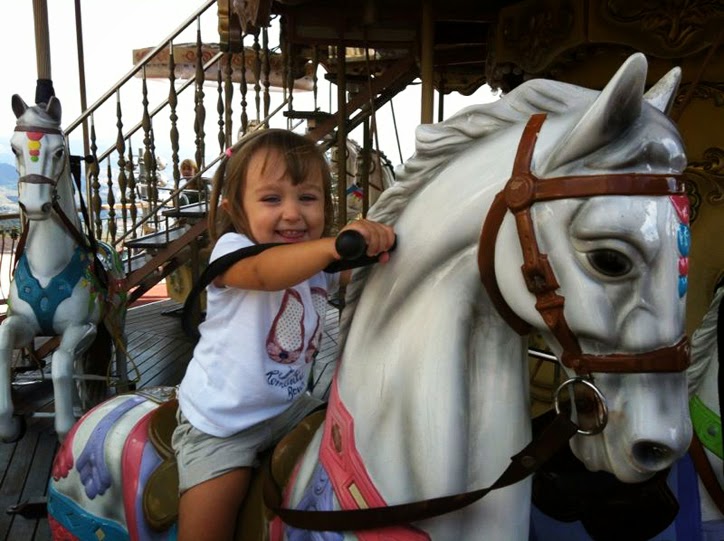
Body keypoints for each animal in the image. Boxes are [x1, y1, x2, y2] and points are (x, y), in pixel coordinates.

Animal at [1, 94, 128, 443]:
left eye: (58, 151)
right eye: (15, 147)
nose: (34, 206)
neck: (47, 266)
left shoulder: (82, 327)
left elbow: (58, 364)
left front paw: (65, 427)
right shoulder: (25, 324)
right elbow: (4, 340)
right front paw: (9, 424)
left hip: (115, 316)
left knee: (113, 351)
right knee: (79, 369)